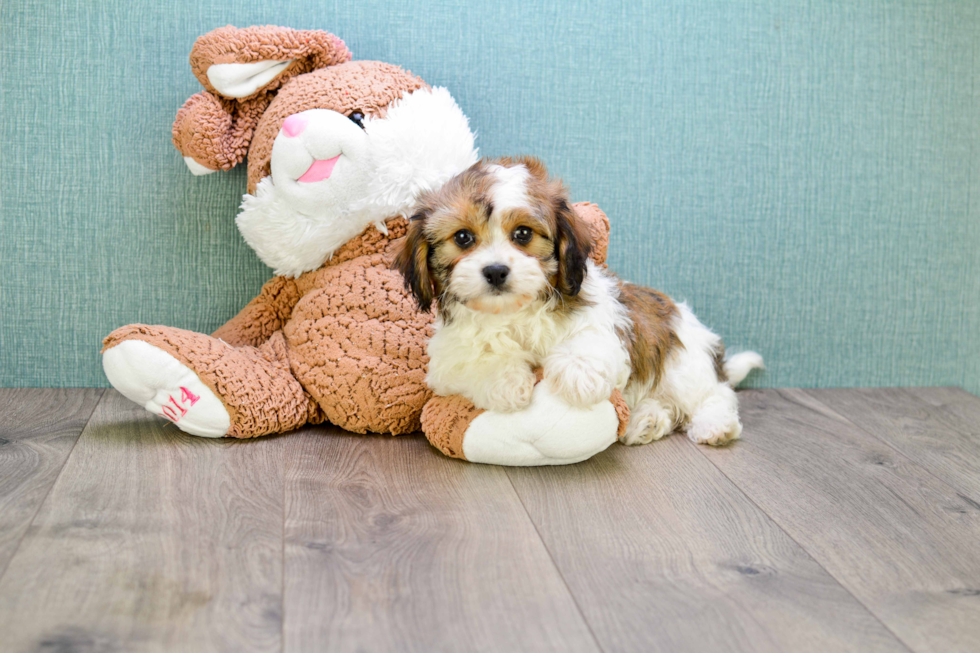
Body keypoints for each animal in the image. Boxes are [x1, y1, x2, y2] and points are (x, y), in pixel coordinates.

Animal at [394, 155, 760, 446]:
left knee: (715, 394)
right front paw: (506, 382)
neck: (514, 313)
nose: (496, 271)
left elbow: (587, 337)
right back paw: (647, 421)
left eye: (523, 234)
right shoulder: (446, 359)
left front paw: (578, 374)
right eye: (463, 237)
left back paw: (715, 426)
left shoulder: (604, 320)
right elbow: (476, 358)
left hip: (684, 365)